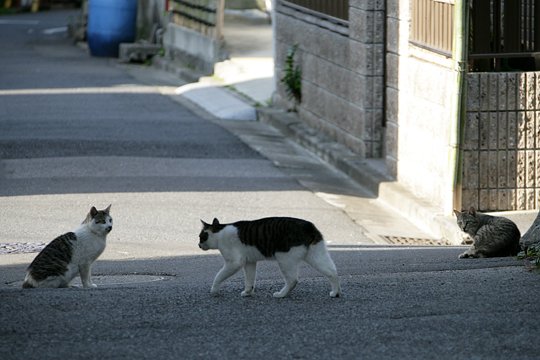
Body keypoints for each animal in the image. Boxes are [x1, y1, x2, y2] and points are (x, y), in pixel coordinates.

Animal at [198, 217, 342, 298]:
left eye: (201, 237)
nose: (198, 245)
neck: (219, 232)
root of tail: (308, 226)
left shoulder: (234, 262)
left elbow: (219, 276)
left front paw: (214, 290)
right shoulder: (250, 262)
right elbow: (249, 279)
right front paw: (248, 292)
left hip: (284, 259)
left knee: (293, 280)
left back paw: (281, 295)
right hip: (316, 255)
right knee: (332, 272)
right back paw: (335, 293)